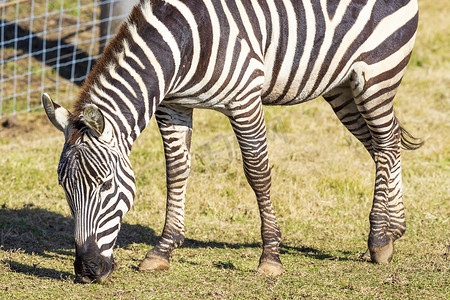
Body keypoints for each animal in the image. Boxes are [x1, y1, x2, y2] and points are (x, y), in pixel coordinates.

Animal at [41, 0, 422, 282]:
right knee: (383, 146)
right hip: (342, 85)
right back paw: (395, 228)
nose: (87, 271)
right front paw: (163, 250)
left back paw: (380, 240)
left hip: (377, 74)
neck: (181, 46)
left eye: (105, 185)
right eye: (64, 188)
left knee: (386, 144)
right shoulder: (173, 106)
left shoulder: (245, 101)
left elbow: (257, 174)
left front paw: (270, 257)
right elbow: (175, 173)